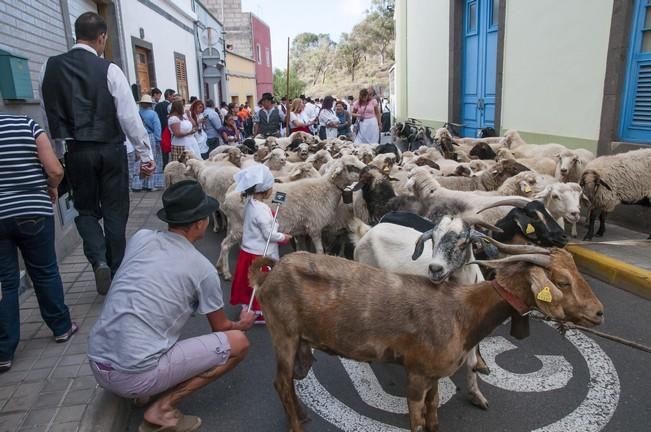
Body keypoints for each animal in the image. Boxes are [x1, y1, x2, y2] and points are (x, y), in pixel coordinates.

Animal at [252, 248, 604, 430]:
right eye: (562, 281)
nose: (599, 312)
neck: (463, 312)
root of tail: (271, 271)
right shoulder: (417, 374)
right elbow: (418, 419)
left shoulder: (434, 373)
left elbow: (434, 410)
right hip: (283, 333)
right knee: (281, 382)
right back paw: (297, 425)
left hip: (301, 343)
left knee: (286, 382)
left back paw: (302, 415)